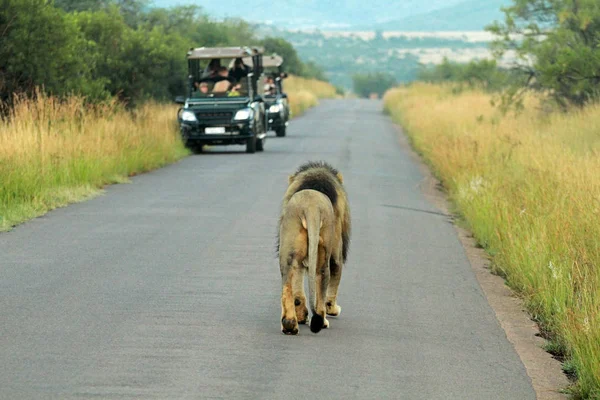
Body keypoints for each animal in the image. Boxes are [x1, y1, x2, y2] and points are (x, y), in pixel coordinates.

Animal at [276, 160, 352, 334]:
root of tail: (311, 207)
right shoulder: (336, 254)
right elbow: (334, 283)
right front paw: (333, 309)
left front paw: (302, 317)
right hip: (324, 254)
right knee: (321, 287)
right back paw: (322, 322)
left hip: (288, 254)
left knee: (288, 287)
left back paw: (290, 324)